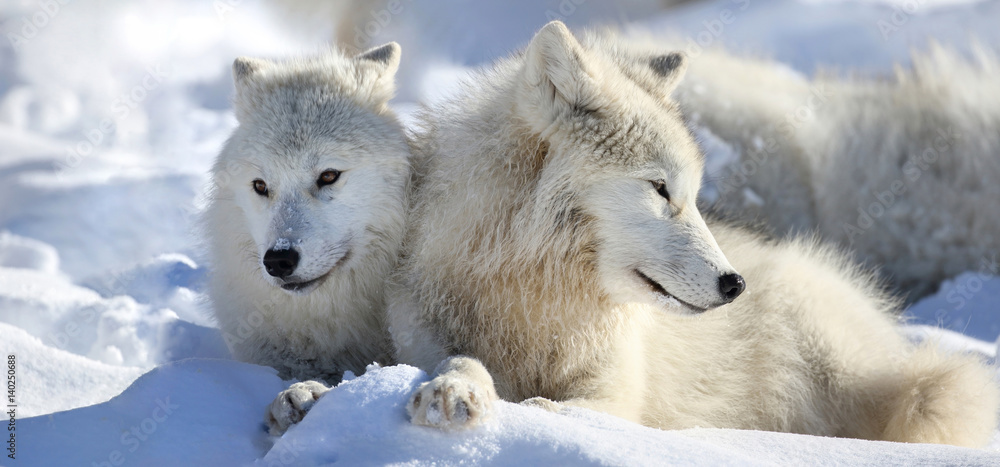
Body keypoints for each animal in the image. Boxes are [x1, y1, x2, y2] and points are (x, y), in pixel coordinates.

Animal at [389, 22, 999, 447]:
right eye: (661, 188)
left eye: (696, 194)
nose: (734, 285)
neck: (540, 303)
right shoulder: (426, 338)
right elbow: (456, 363)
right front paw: (454, 391)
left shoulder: (615, 391)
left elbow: (564, 411)